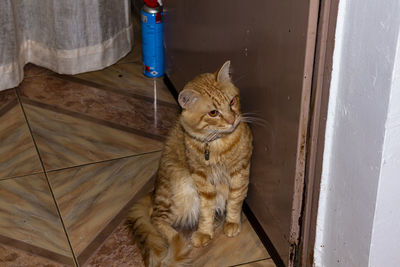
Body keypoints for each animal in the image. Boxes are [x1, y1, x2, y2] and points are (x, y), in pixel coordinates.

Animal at [128, 61, 253, 266]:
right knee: (156, 219)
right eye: (213, 113)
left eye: (232, 102)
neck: (216, 144)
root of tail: (153, 193)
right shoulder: (201, 178)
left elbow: (235, 200)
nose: (232, 120)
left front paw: (232, 222)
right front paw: (204, 232)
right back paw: (177, 238)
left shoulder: (240, 171)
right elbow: (206, 210)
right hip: (181, 189)